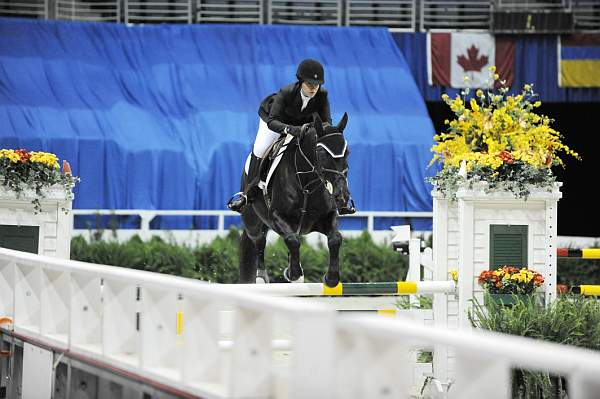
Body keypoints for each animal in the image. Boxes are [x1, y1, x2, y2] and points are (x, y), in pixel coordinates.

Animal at [238, 112, 352, 288]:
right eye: (321, 152)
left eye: (347, 153)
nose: (342, 197)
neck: (307, 185)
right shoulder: (277, 217)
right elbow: (292, 240)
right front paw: (294, 274)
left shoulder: (327, 217)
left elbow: (335, 239)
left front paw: (331, 278)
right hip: (253, 221)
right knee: (259, 241)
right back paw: (261, 277)